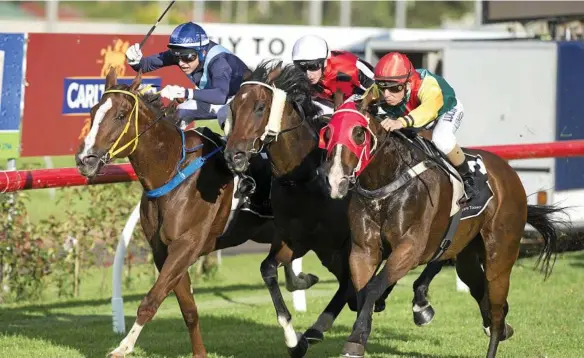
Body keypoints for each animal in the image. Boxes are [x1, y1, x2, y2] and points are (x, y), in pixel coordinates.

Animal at [75, 68, 320, 358]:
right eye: (93, 111)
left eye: (121, 115)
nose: (85, 160)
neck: (173, 169)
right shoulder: (164, 251)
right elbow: (188, 308)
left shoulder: (187, 245)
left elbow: (152, 299)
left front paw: (123, 346)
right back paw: (302, 282)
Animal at [224, 60, 448, 356]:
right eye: (233, 106)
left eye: (260, 107)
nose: (233, 155)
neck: (304, 179)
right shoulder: (296, 240)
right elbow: (269, 269)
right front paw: (294, 338)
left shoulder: (344, 244)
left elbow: (358, 285)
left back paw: (419, 304)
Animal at [318, 98, 568, 358]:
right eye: (327, 133)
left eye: (358, 133)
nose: (335, 180)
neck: (386, 181)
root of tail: (509, 173)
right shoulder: (363, 251)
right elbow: (363, 291)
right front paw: (359, 336)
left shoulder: (410, 248)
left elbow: (375, 286)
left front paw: (356, 339)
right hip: (467, 255)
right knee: (483, 295)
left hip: (501, 255)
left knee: (497, 311)